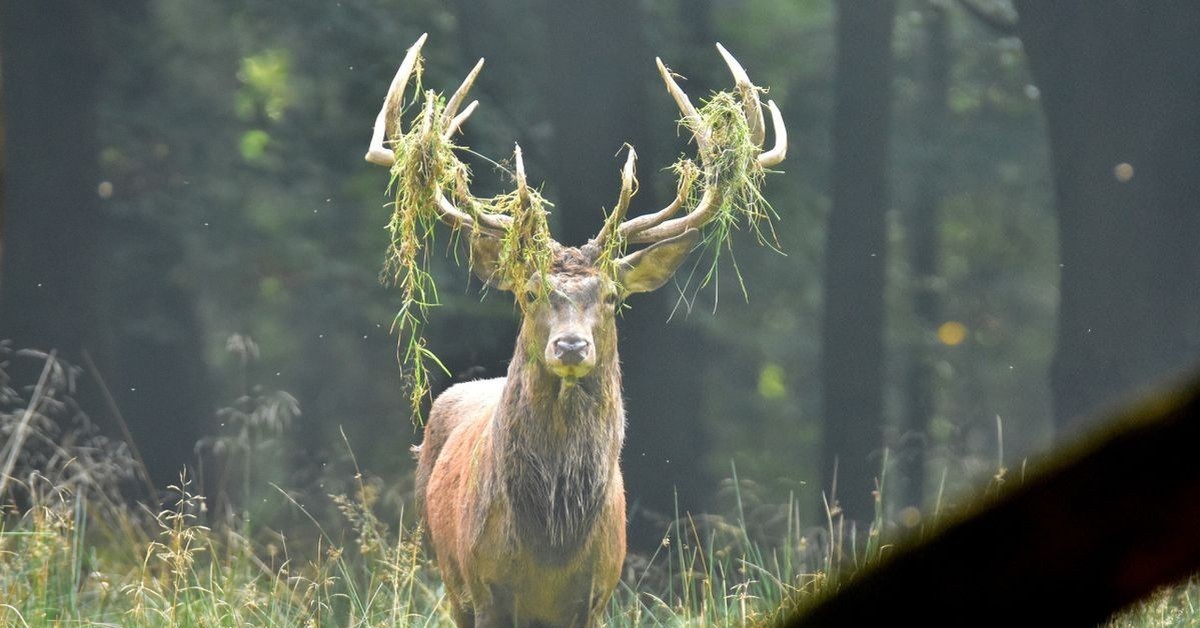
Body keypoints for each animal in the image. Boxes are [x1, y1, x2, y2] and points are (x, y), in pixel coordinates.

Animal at [360, 34, 782, 628]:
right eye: (529, 292)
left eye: (611, 297)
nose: (571, 345)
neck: (551, 545)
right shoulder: (484, 585)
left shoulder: (597, 591)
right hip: (445, 569)